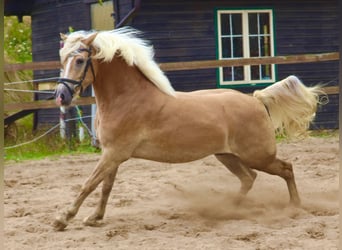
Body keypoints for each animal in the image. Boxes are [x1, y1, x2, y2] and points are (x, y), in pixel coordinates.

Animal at [54, 27, 326, 230]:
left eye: (80, 60)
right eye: (62, 59)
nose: (61, 96)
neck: (127, 98)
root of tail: (257, 100)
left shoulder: (114, 154)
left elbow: (89, 184)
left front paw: (62, 219)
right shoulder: (112, 154)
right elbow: (105, 187)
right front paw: (94, 218)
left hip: (258, 155)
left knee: (286, 168)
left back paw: (294, 206)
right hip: (228, 156)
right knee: (249, 178)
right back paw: (226, 208)